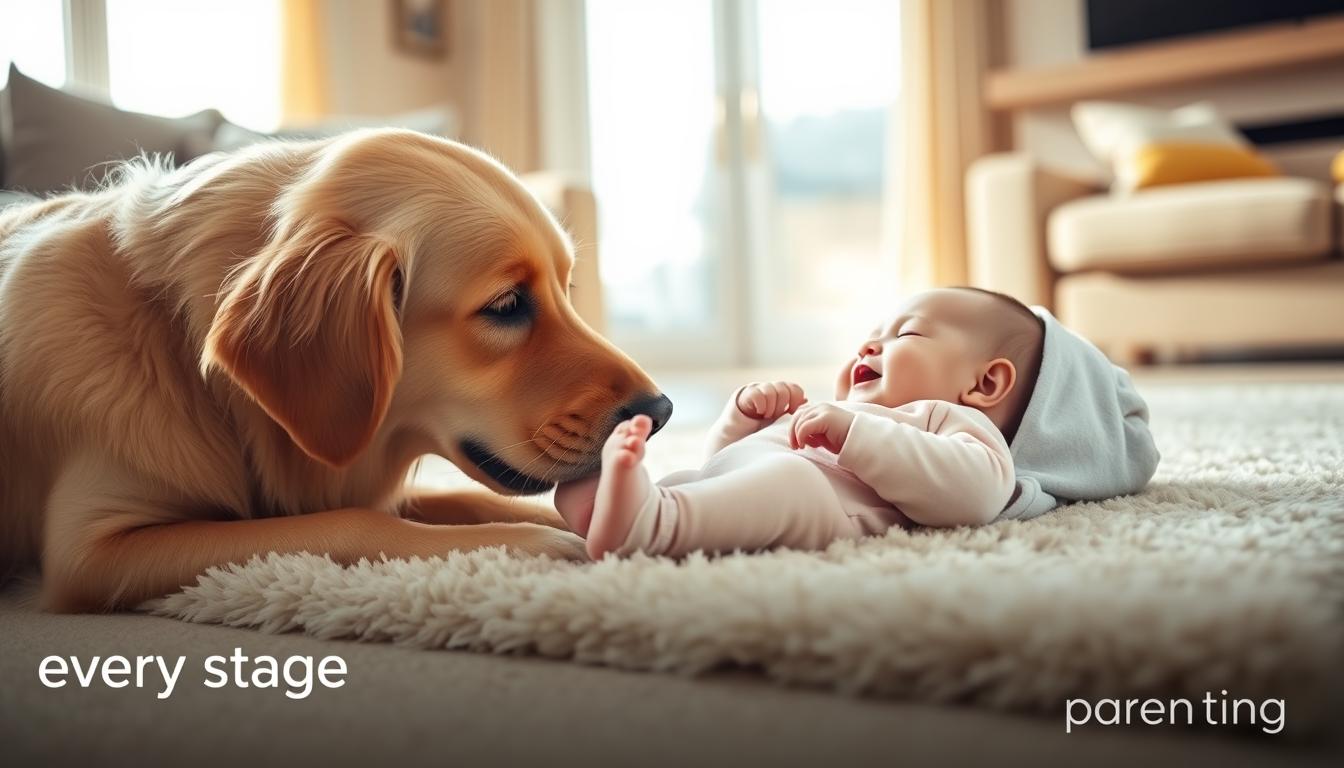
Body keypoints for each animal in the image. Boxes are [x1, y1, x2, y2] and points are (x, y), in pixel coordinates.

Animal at [0, 130, 672, 613]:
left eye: (566, 288)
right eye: (506, 305)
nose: (661, 413)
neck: (173, 341)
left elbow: (457, 496)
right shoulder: (94, 551)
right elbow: (350, 522)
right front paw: (530, 543)